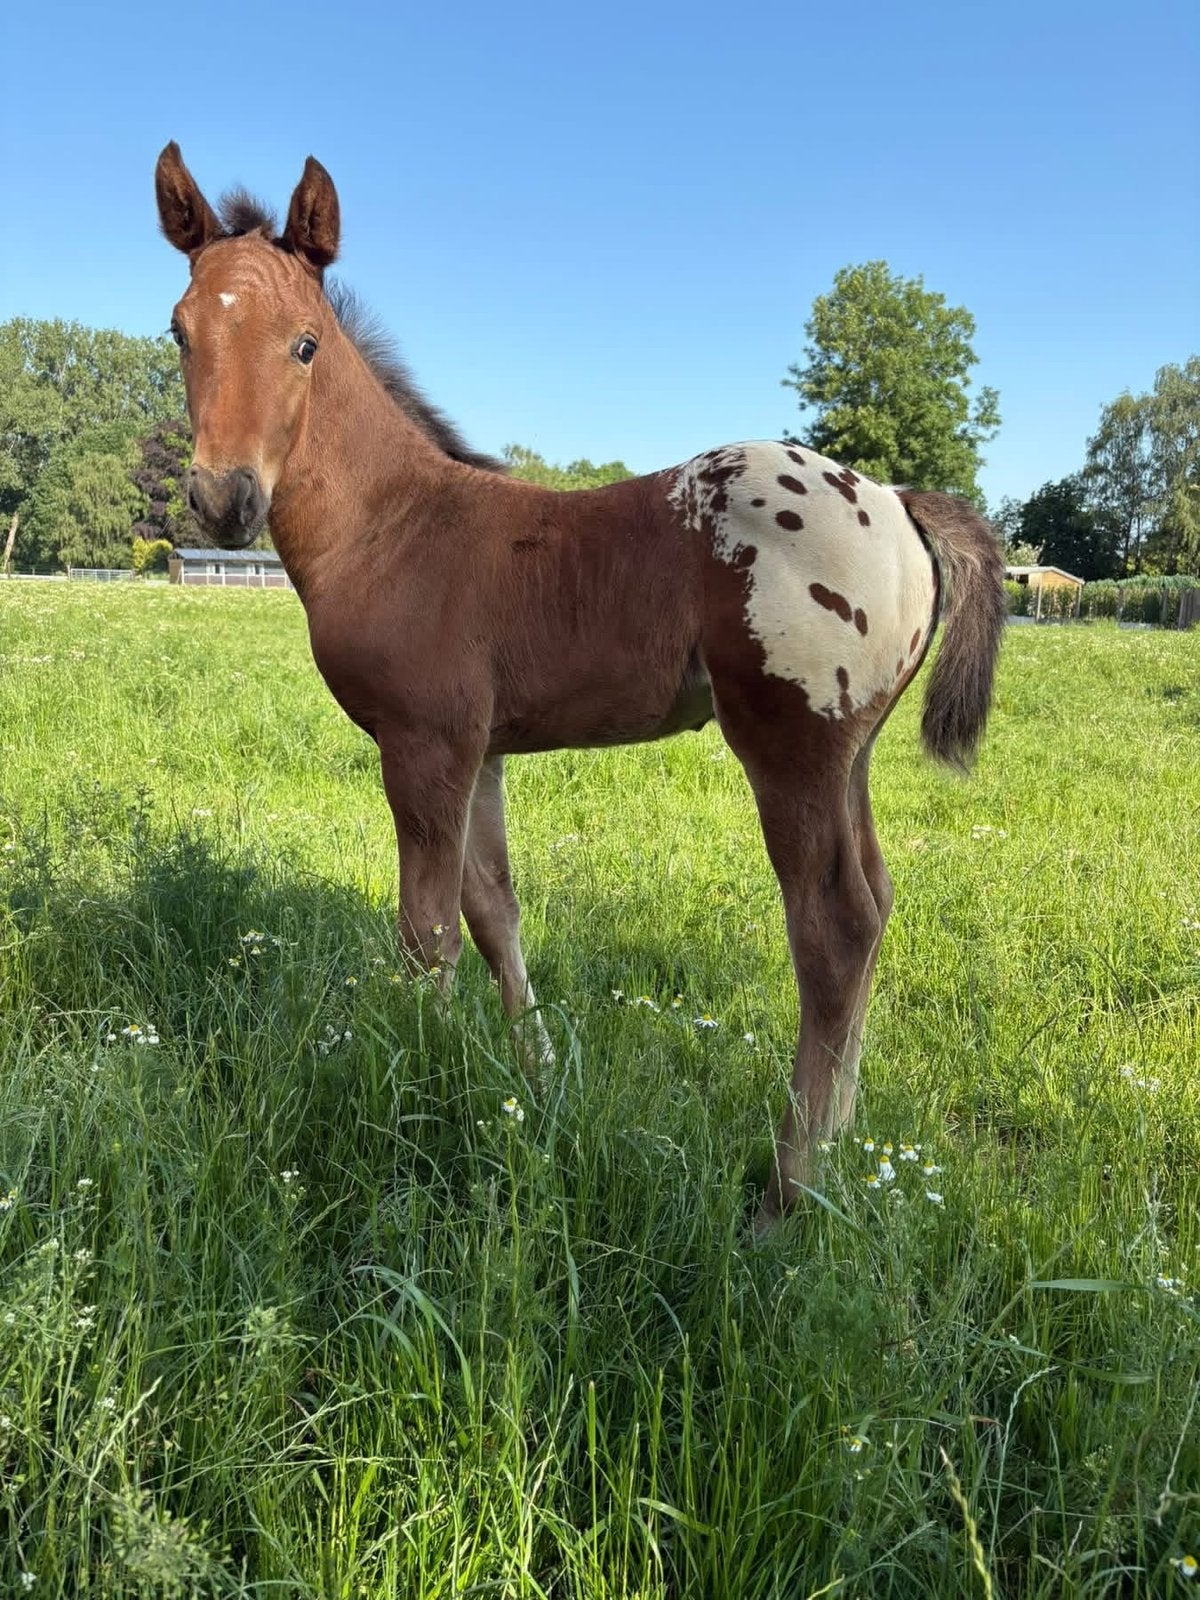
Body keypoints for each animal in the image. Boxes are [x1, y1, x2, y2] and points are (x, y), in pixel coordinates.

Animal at [155, 144, 1006, 1228]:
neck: (395, 525)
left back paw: (787, 1188)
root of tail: (894, 499)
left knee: (834, 928)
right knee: (879, 902)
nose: (224, 499)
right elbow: (492, 910)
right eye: (179, 331)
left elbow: (425, 931)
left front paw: (417, 1104)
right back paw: (842, 1142)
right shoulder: (479, 749)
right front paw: (539, 1079)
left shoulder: (422, 744)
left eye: (305, 344)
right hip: (848, 752)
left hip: (790, 749)